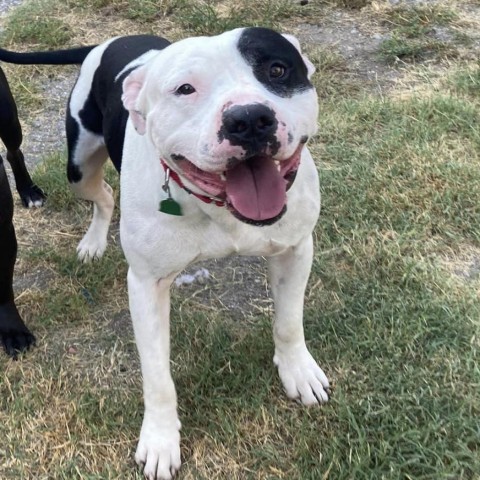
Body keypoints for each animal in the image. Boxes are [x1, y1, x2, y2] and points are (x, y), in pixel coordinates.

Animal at [0, 28, 330, 478]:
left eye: (278, 70)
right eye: (184, 89)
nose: (248, 119)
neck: (216, 207)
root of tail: (108, 43)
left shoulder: (295, 249)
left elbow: (289, 323)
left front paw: (298, 370)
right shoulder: (146, 286)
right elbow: (157, 375)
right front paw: (160, 438)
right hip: (79, 167)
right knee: (104, 195)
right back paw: (94, 241)